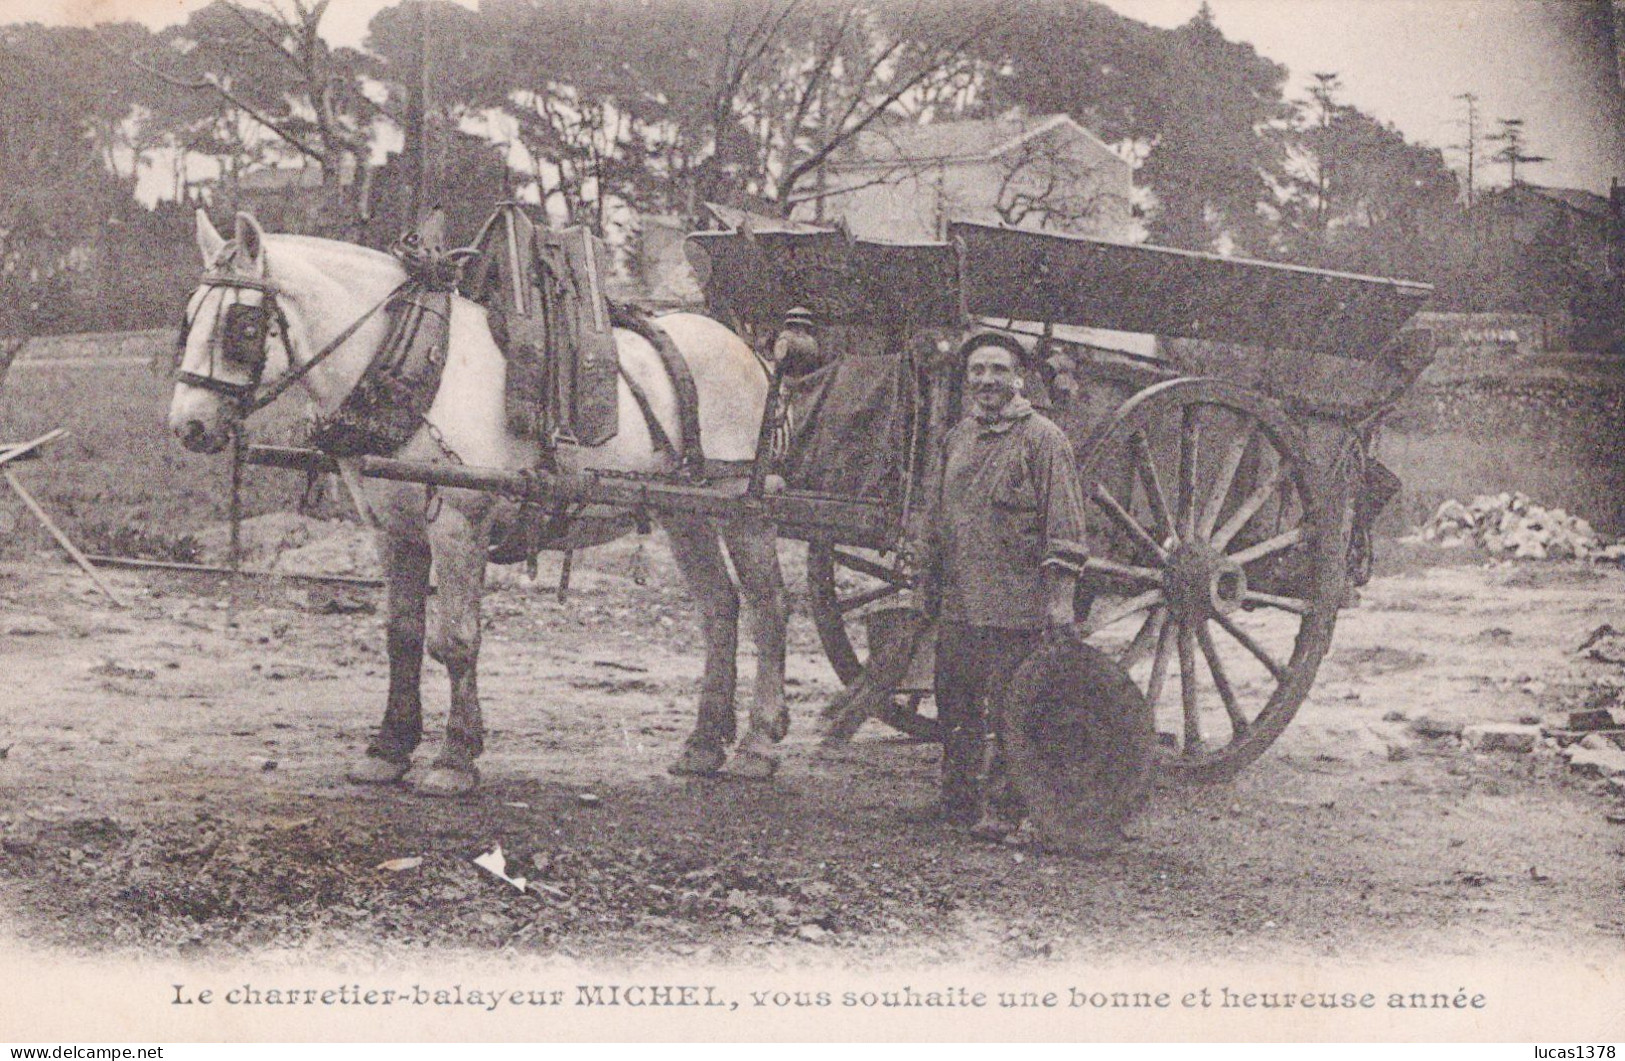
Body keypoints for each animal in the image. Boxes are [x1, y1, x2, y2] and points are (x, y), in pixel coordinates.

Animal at [168, 211, 789, 792]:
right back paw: (704, 744)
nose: (188, 428)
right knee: (720, 608)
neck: (419, 366)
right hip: (687, 513)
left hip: (744, 508)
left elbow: (457, 639)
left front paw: (455, 757)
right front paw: (389, 748)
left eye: (243, 323)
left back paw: (759, 744)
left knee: (767, 608)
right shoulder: (393, 531)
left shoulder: (458, 525)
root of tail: (748, 350)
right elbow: (402, 636)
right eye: (189, 318)